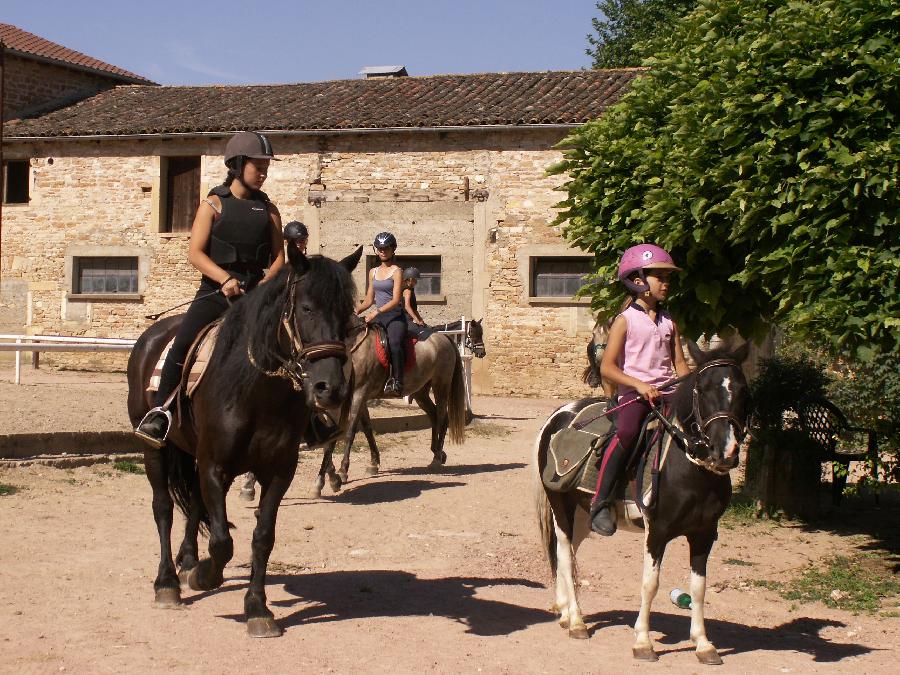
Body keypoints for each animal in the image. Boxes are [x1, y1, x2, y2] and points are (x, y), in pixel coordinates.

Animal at [125, 250, 362, 640]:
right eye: (307, 308)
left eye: (348, 315)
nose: (331, 389)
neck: (258, 391)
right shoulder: (214, 466)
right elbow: (222, 541)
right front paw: (206, 576)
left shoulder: (278, 472)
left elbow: (262, 537)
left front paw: (257, 608)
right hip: (155, 450)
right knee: (164, 508)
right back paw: (168, 583)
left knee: (193, 504)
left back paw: (188, 560)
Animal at [312, 320, 468, 500]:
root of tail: (444, 338)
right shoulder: (359, 398)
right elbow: (367, 429)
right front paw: (373, 463)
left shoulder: (359, 392)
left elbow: (350, 431)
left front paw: (342, 471)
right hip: (421, 392)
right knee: (434, 416)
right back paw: (438, 452)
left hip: (441, 385)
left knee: (442, 417)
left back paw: (436, 459)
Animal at [536, 344, 752, 664]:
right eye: (703, 389)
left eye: (742, 390)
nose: (724, 451)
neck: (689, 468)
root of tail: (560, 415)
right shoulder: (658, 531)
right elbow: (650, 584)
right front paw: (643, 642)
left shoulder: (704, 534)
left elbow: (699, 589)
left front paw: (703, 644)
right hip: (561, 506)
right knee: (563, 553)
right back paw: (576, 621)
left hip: (583, 513)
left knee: (570, 553)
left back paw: (564, 611)